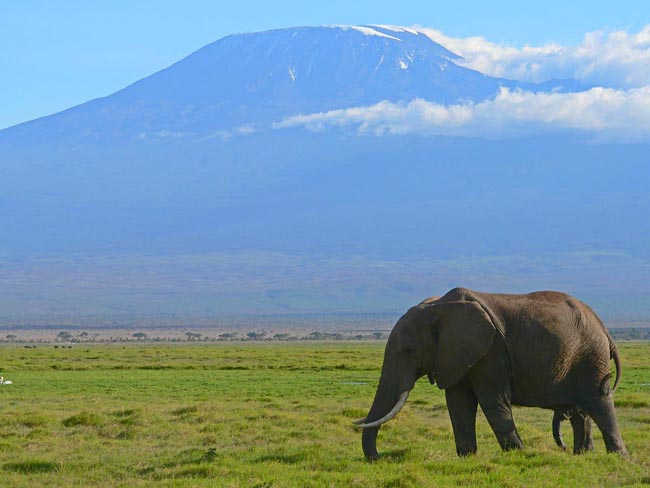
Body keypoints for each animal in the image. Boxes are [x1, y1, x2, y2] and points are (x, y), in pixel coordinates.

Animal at [352, 286, 624, 458]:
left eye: (409, 351)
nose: (379, 457)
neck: (438, 308)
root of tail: (604, 327)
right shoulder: (454, 355)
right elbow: (458, 404)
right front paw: (467, 456)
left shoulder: (492, 351)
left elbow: (493, 401)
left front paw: (518, 454)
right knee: (583, 411)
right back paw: (583, 455)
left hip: (590, 357)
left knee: (599, 403)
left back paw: (618, 457)